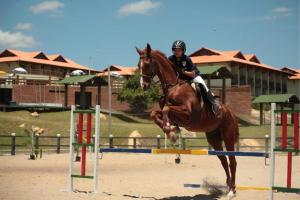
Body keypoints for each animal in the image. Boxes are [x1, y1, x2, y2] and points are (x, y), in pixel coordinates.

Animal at [137, 43, 240, 194]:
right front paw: (171, 132)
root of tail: (231, 113)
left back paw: (232, 191)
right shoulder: (174, 115)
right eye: (138, 65)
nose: (143, 85)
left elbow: (166, 109)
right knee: (223, 160)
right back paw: (227, 186)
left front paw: (171, 131)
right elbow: (155, 113)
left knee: (232, 161)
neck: (174, 86)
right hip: (214, 139)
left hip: (228, 137)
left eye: (147, 64)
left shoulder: (188, 114)